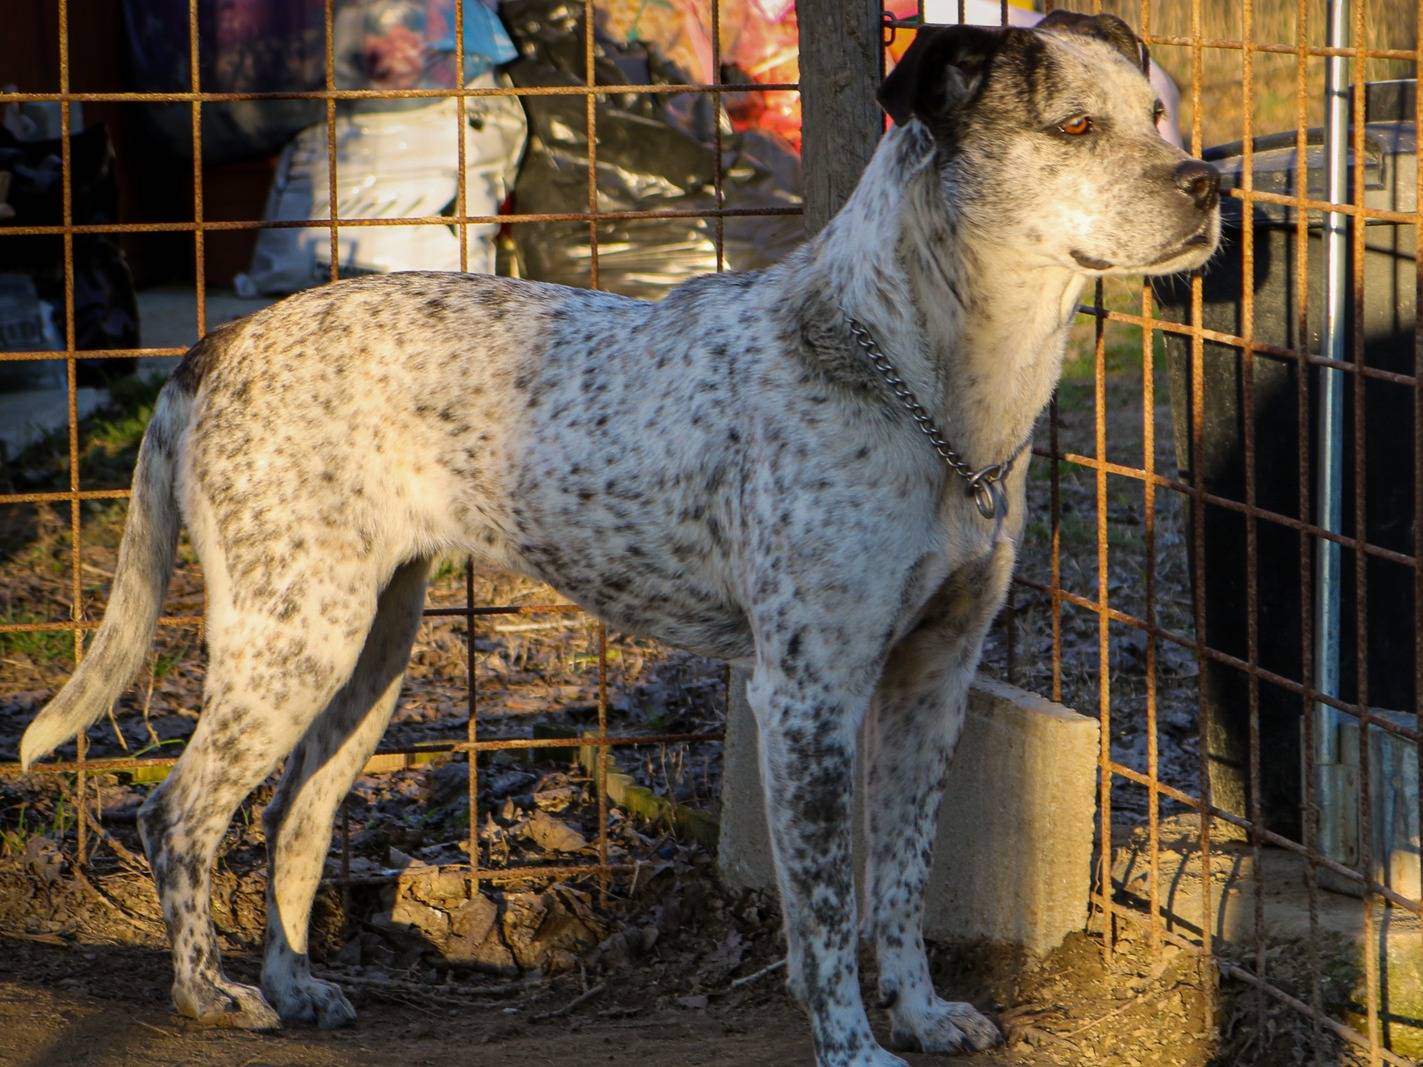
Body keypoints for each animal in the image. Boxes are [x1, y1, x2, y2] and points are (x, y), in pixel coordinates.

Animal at [22, 12, 1218, 1064]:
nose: (1207, 184)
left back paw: (296, 986)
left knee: (293, 817)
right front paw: (853, 1047)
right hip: (292, 645)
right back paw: (209, 995)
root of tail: (215, 343)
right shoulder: (805, 696)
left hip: (368, 651)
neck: (928, 382)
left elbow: (900, 881)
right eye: (1073, 127)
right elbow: (827, 912)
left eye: (1158, 116)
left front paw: (920, 1017)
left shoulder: (933, 679)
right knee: (177, 812)